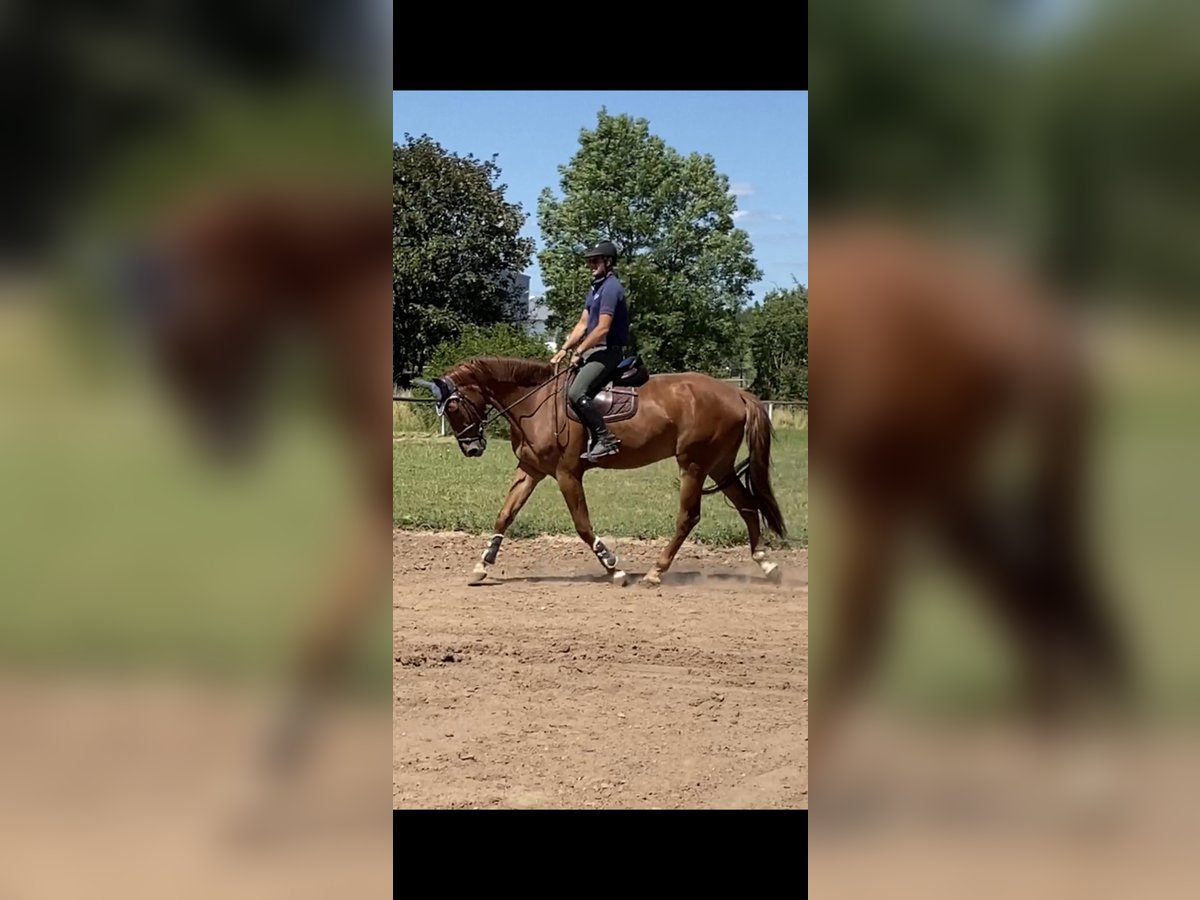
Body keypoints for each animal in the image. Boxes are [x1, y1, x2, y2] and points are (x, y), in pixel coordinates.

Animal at [412, 355, 787, 588]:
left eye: (454, 407)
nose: (472, 449)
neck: (535, 403)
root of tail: (735, 392)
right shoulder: (530, 469)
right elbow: (505, 514)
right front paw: (481, 566)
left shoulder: (567, 474)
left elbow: (582, 524)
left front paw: (614, 568)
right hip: (719, 466)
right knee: (747, 505)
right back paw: (766, 563)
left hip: (693, 465)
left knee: (689, 517)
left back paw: (655, 572)